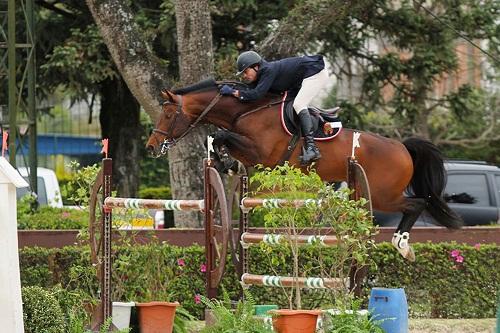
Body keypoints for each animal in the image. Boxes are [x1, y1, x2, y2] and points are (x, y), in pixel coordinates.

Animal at [146, 78, 462, 260]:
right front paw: (225, 162)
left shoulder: (260, 152)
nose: (151, 146)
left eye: (169, 114)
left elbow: (220, 135)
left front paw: (223, 159)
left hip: (384, 195)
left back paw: (402, 245)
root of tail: (402, 148)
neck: (246, 110)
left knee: (416, 203)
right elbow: (217, 139)